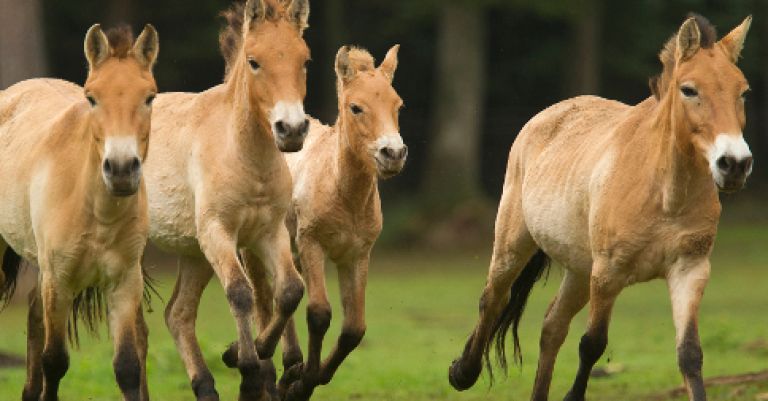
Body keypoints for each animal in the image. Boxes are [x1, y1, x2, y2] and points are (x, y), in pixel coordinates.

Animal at [0, 24, 159, 400]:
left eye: (149, 97)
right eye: (91, 98)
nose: (121, 169)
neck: (97, 213)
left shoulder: (124, 282)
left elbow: (128, 365)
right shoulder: (59, 280)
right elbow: (55, 361)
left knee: (34, 317)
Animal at [142, 1, 310, 398]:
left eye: (305, 60)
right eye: (254, 61)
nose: (292, 130)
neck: (243, 155)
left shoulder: (269, 233)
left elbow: (290, 291)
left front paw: (248, 353)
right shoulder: (219, 233)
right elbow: (240, 292)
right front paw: (247, 364)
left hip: (193, 254)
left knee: (178, 314)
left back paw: (205, 386)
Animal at [219, 44, 404, 400]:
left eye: (397, 104)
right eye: (356, 107)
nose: (393, 154)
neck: (342, 191)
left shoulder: (356, 255)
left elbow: (354, 329)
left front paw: (305, 378)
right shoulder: (312, 243)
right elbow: (318, 313)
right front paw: (302, 383)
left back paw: (289, 364)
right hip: (256, 246)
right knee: (264, 297)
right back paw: (258, 360)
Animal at [448, 13, 752, 400]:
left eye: (743, 92)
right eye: (689, 90)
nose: (735, 164)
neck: (664, 194)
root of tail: (547, 115)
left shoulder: (690, 269)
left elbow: (689, 354)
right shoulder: (609, 273)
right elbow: (592, 343)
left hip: (579, 270)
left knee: (552, 326)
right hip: (514, 245)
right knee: (493, 299)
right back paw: (462, 372)